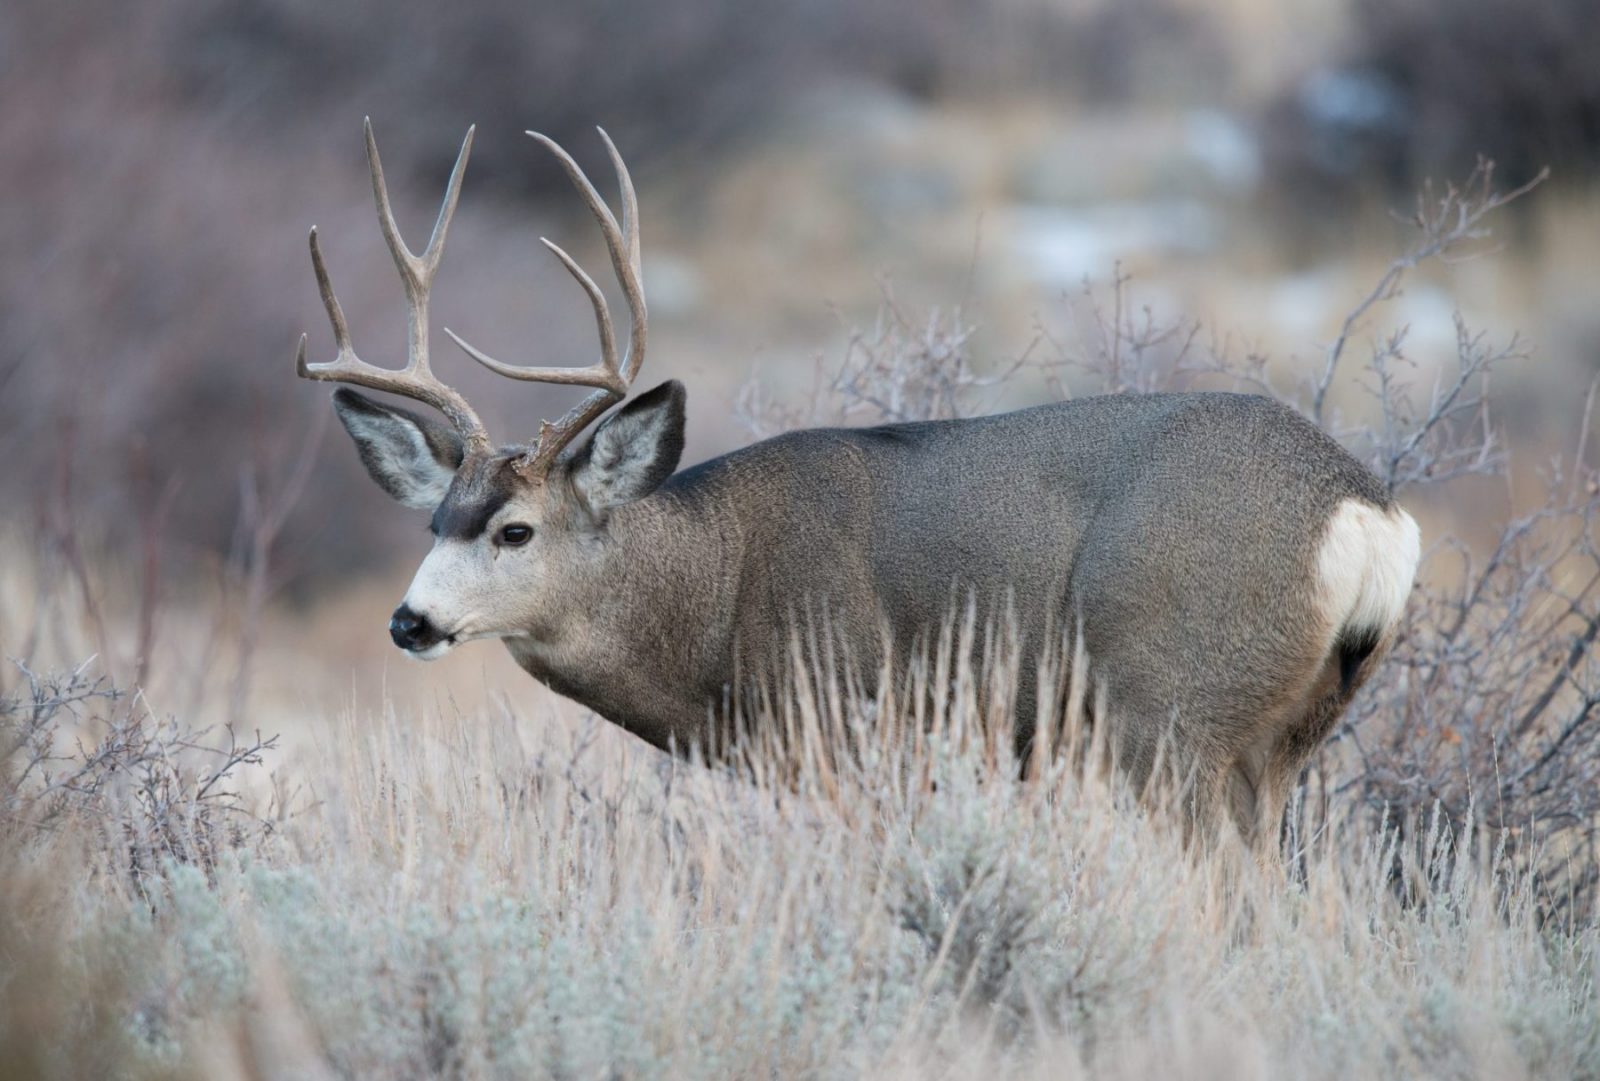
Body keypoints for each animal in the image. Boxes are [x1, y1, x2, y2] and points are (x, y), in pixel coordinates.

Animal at [294, 122, 1420, 850]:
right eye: (436, 521)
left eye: (516, 530)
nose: (409, 620)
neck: (713, 594)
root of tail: (1366, 511)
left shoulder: (853, 726)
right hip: (1282, 737)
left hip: (1171, 710)